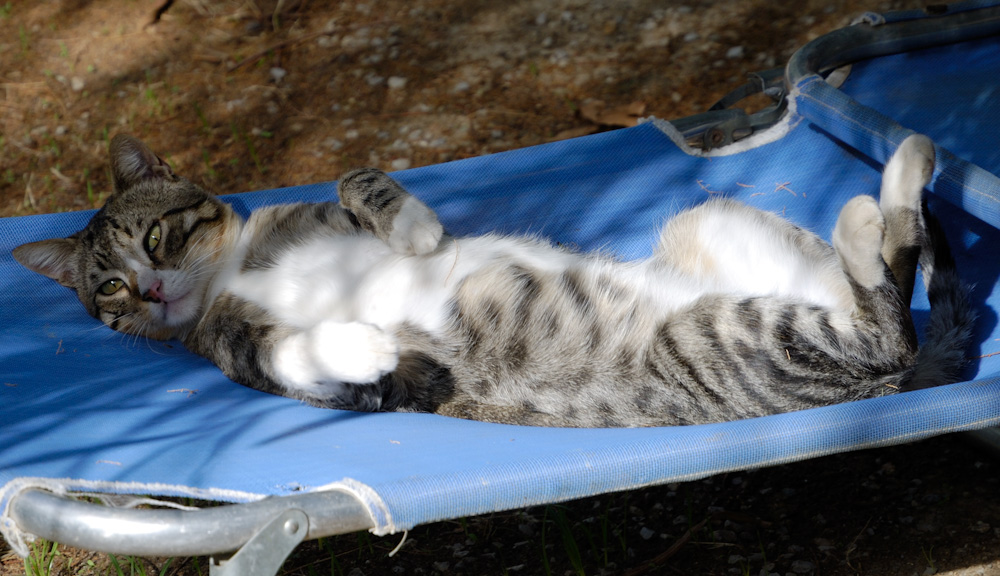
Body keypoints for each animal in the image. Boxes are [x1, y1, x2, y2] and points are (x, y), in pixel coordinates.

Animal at [11, 133, 972, 426]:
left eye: (158, 235)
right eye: (107, 289)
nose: (150, 291)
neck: (232, 275)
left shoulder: (314, 205)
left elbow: (355, 176)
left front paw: (412, 227)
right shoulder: (250, 361)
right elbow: (295, 356)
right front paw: (358, 341)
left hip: (705, 229)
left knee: (890, 302)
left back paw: (903, 176)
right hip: (734, 326)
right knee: (881, 319)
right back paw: (890, 191)